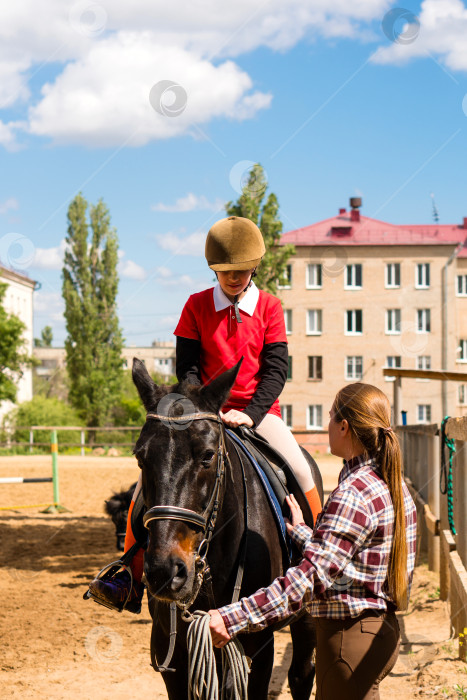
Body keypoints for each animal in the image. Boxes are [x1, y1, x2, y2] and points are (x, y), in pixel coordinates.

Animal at [132, 358, 322, 696]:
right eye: (141, 457)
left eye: (208, 455)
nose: (165, 572)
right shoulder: (172, 649)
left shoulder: (258, 648)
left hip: (306, 615)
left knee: (301, 673)